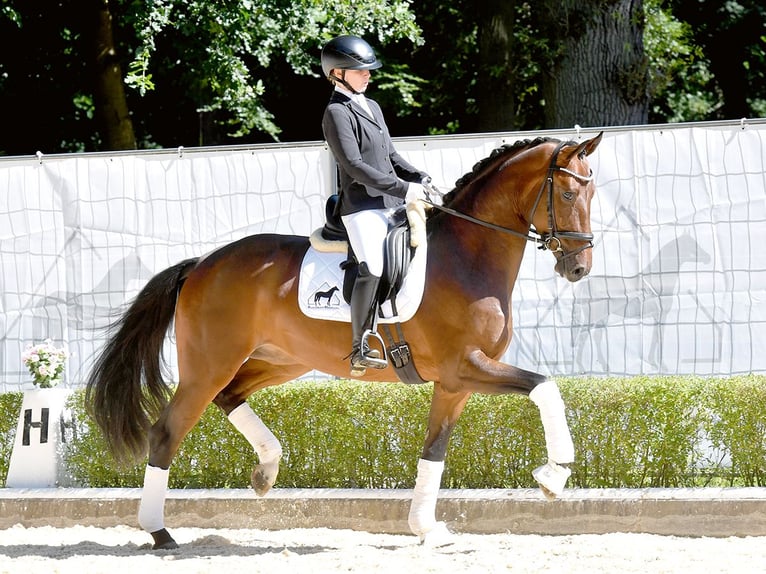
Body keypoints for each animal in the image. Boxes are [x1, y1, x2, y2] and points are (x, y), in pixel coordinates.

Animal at [85, 133, 608, 552]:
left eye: (593, 191)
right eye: (566, 192)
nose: (579, 268)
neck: (467, 255)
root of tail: (201, 264)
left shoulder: (454, 384)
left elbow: (434, 452)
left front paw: (427, 529)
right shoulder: (465, 366)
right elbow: (545, 387)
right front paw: (554, 476)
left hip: (282, 360)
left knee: (231, 396)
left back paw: (266, 471)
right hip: (209, 365)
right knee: (167, 432)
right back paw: (160, 532)